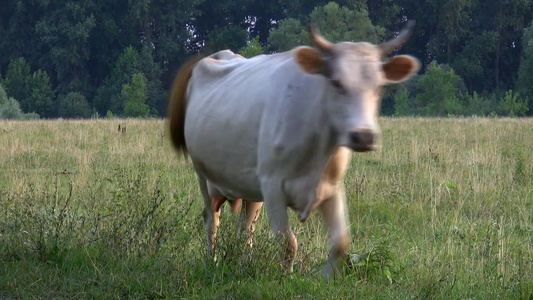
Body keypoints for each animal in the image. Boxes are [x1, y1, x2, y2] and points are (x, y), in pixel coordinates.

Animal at [167, 21, 420, 282]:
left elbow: (340, 242)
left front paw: (325, 280)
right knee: (211, 221)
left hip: (249, 189)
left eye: (380, 87)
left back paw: (243, 263)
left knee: (246, 228)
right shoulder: (273, 188)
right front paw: (285, 279)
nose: (363, 136)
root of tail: (219, 55)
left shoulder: (331, 188)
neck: (318, 149)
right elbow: (288, 243)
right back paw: (212, 262)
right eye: (336, 82)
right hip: (204, 177)